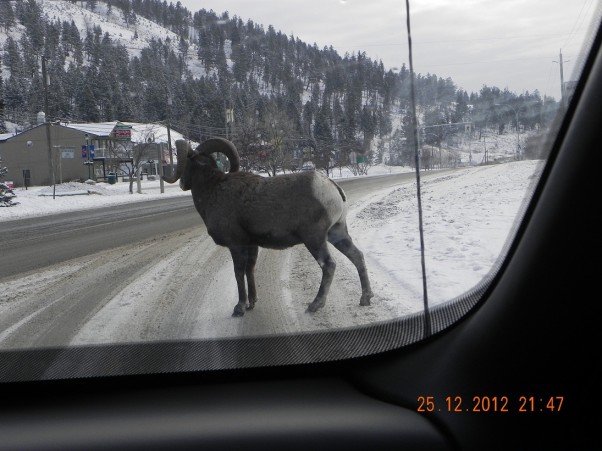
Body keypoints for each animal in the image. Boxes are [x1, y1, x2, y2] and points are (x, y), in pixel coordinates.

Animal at [163, 138, 370, 318]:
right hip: (337, 234)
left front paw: (239, 308)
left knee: (329, 265)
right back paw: (365, 299)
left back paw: (315, 305)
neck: (212, 191)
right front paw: (252, 303)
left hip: (315, 239)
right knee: (357, 256)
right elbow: (249, 270)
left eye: (185, 164)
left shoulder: (236, 245)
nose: (181, 184)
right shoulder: (251, 245)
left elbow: (238, 273)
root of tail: (332, 187)